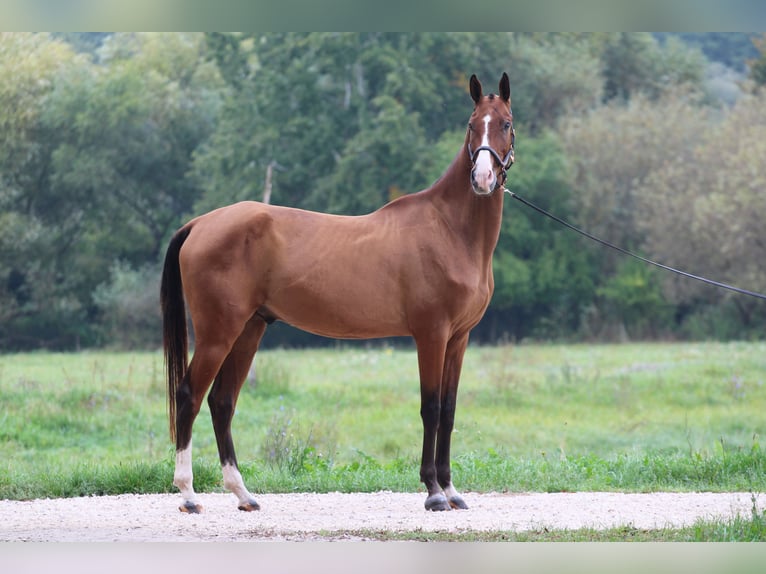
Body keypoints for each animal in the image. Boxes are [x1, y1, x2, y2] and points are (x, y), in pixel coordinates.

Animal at [163, 71, 520, 512]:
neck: (450, 229)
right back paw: (188, 494)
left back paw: (243, 494)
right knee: (189, 396)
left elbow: (450, 410)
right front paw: (434, 492)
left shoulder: (458, 338)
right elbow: (431, 407)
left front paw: (452, 491)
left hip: (249, 329)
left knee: (221, 401)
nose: (483, 179)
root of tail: (199, 224)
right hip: (218, 333)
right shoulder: (431, 334)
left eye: (505, 123)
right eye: (472, 125)